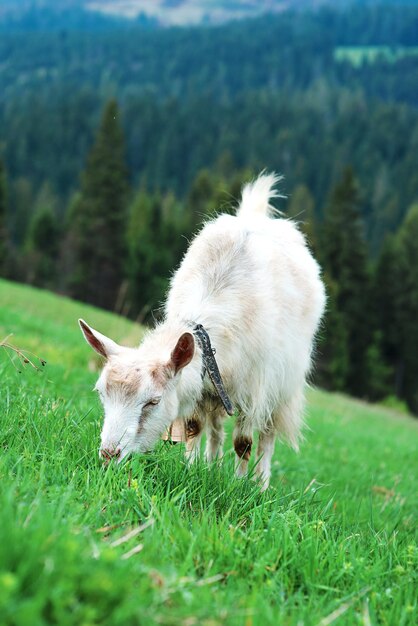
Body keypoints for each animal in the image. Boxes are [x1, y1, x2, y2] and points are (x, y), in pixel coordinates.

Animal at [79, 172, 326, 488]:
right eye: (101, 393)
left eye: (153, 401)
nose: (109, 454)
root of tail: (257, 214)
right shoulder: (202, 380)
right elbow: (194, 427)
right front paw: (191, 468)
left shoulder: (254, 389)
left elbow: (244, 443)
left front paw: (239, 485)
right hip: (217, 390)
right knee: (217, 428)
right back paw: (211, 465)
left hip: (282, 385)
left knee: (268, 434)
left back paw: (260, 484)